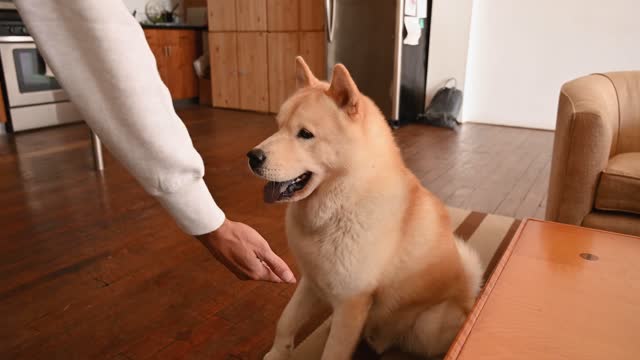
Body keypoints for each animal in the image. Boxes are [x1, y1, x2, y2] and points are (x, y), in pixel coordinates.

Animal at [248, 57, 482, 358]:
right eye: (278, 126)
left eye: (305, 134)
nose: (252, 157)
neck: (340, 207)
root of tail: (469, 300)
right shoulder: (311, 280)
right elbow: (286, 320)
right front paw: (278, 353)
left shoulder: (352, 301)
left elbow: (333, 351)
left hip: (427, 324)